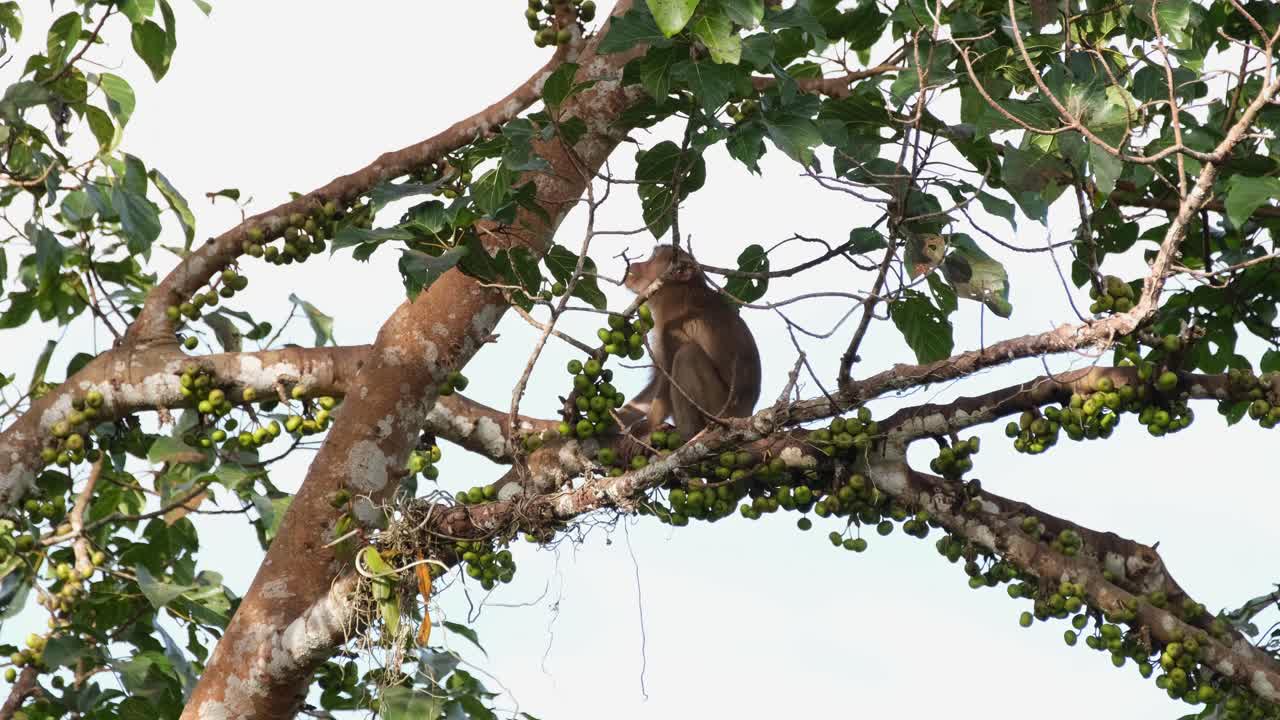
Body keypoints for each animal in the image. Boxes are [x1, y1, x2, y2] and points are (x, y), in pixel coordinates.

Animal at [615, 245, 762, 452]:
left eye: (653, 256)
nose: (635, 264)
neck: (680, 292)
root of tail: (745, 414)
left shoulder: (672, 327)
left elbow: (666, 380)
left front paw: (647, 426)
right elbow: (656, 382)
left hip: (719, 412)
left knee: (687, 355)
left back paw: (687, 435)